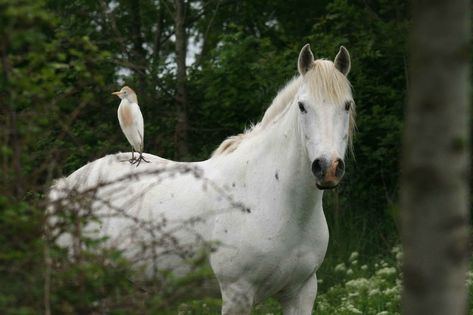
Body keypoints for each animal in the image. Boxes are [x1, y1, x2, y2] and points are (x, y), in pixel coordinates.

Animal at [50, 45, 354, 315]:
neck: (275, 197)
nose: (327, 167)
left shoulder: (301, 292)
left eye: (347, 106)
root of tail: (65, 186)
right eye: (303, 106)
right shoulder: (237, 293)